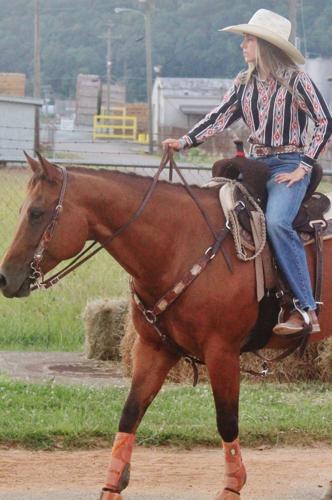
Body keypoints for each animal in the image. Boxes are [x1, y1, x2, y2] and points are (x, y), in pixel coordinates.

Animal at [0, 153, 330, 500]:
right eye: (22, 210)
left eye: (36, 213)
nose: (5, 277)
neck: (179, 246)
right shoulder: (153, 348)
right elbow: (130, 413)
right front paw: (112, 487)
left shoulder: (222, 353)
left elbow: (227, 421)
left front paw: (231, 487)